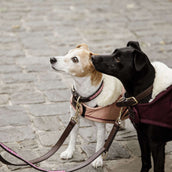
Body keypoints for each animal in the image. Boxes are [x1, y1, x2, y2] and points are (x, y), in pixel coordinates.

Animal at [91, 41, 172, 171]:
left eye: (118, 58)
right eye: (113, 53)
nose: (92, 57)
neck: (147, 92)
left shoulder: (156, 143)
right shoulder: (142, 136)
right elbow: (146, 161)